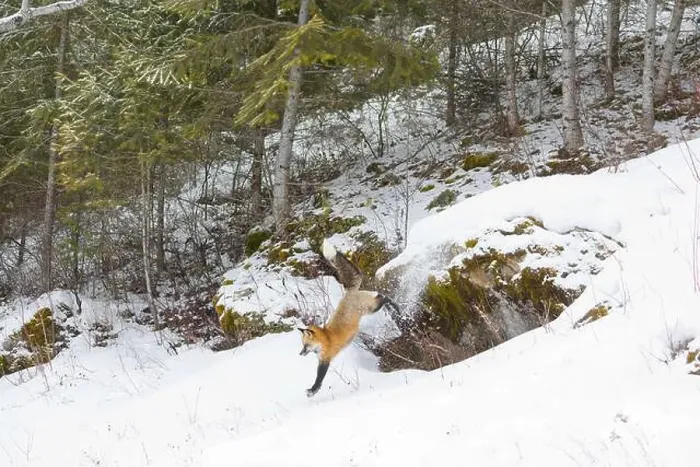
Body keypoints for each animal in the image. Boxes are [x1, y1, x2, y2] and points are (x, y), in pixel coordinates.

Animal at [298, 238, 399, 397]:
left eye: (305, 345)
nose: (300, 353)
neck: (324, 339)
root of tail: (349, 293)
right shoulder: (322, 359)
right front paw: (314, 390)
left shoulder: (326, 360)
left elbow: (319, 378)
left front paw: (313, 390)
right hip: (370, 307)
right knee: (379, 295)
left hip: (371, 309)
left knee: (384, 297)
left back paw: (395, 305)